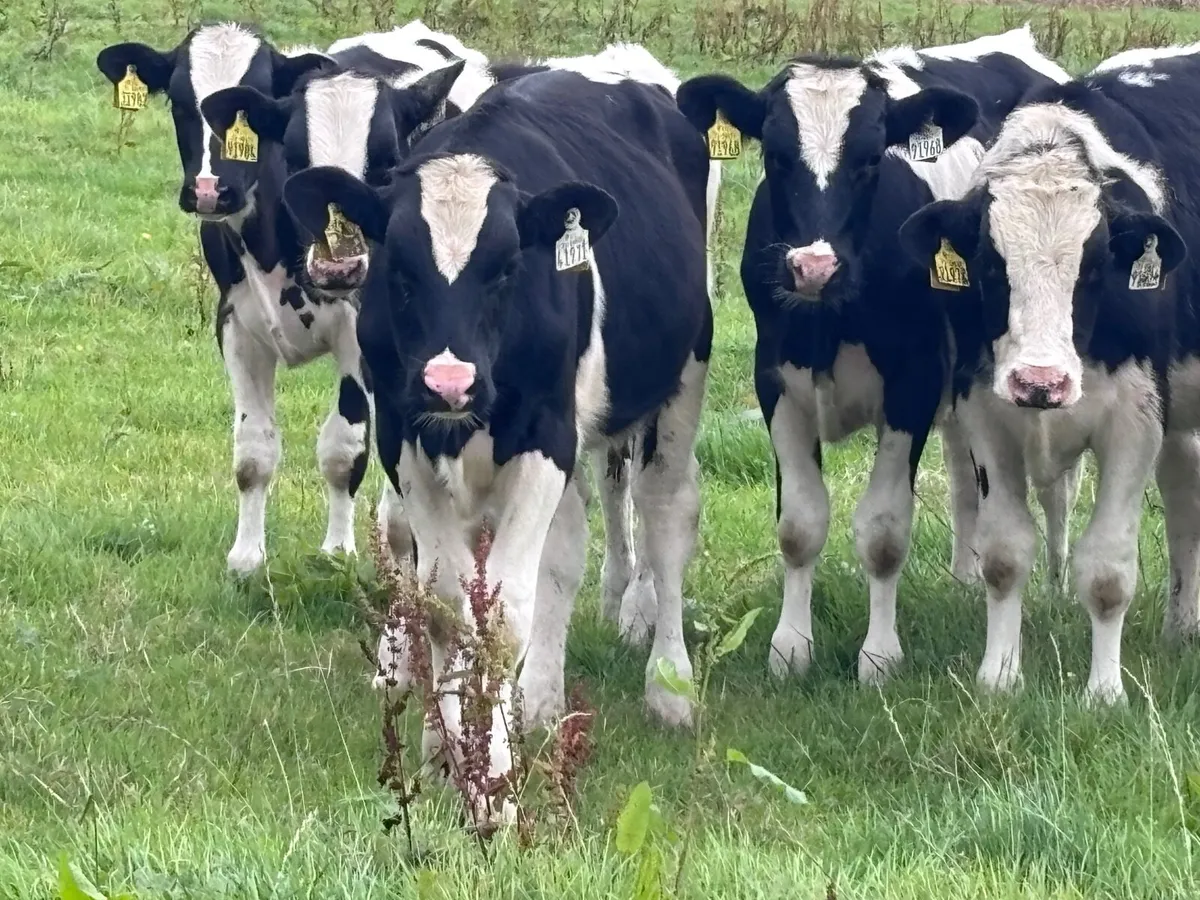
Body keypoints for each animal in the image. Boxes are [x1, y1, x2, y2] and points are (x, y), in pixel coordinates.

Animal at [94, 23, 478, 577]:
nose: (211, 190)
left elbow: (344, 447)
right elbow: (252, 450)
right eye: (181, 103)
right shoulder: (235, 324)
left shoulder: (358, 332)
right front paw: (246, 560)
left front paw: (338, 554)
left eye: (386, 161)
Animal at [281, 67, 713, 822]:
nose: (449, 381)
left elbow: (504, 615)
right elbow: (450, 605)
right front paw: (450, 749)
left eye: (509, 266)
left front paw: (496, 788)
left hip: (681, 375)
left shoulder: (546, 438)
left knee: (665, 518)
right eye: (400, 268)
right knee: (563, 556)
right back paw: (539, 700)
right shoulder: (404, 438)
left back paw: (668, 686)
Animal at [674, 26, 1073, 684]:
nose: (813, 266)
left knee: (1054, 487)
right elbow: (799, 524)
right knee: (964, 474)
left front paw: (879, 656)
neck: (832, 317)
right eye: (776, 156)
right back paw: (965, 576)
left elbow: (884, 534)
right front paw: (790, 648)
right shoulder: (776, 380)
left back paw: (1057, 588)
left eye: (869, 160)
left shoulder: (913, 382)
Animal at [897, 43, 1200, 703]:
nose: (1041, 382)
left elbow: (1109, 569)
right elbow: (1005, 554)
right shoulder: (987, 414)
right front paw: (999, 675)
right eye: (990, 265)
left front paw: (1104, 692)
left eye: (1096, 266)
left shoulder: (1136, 423)